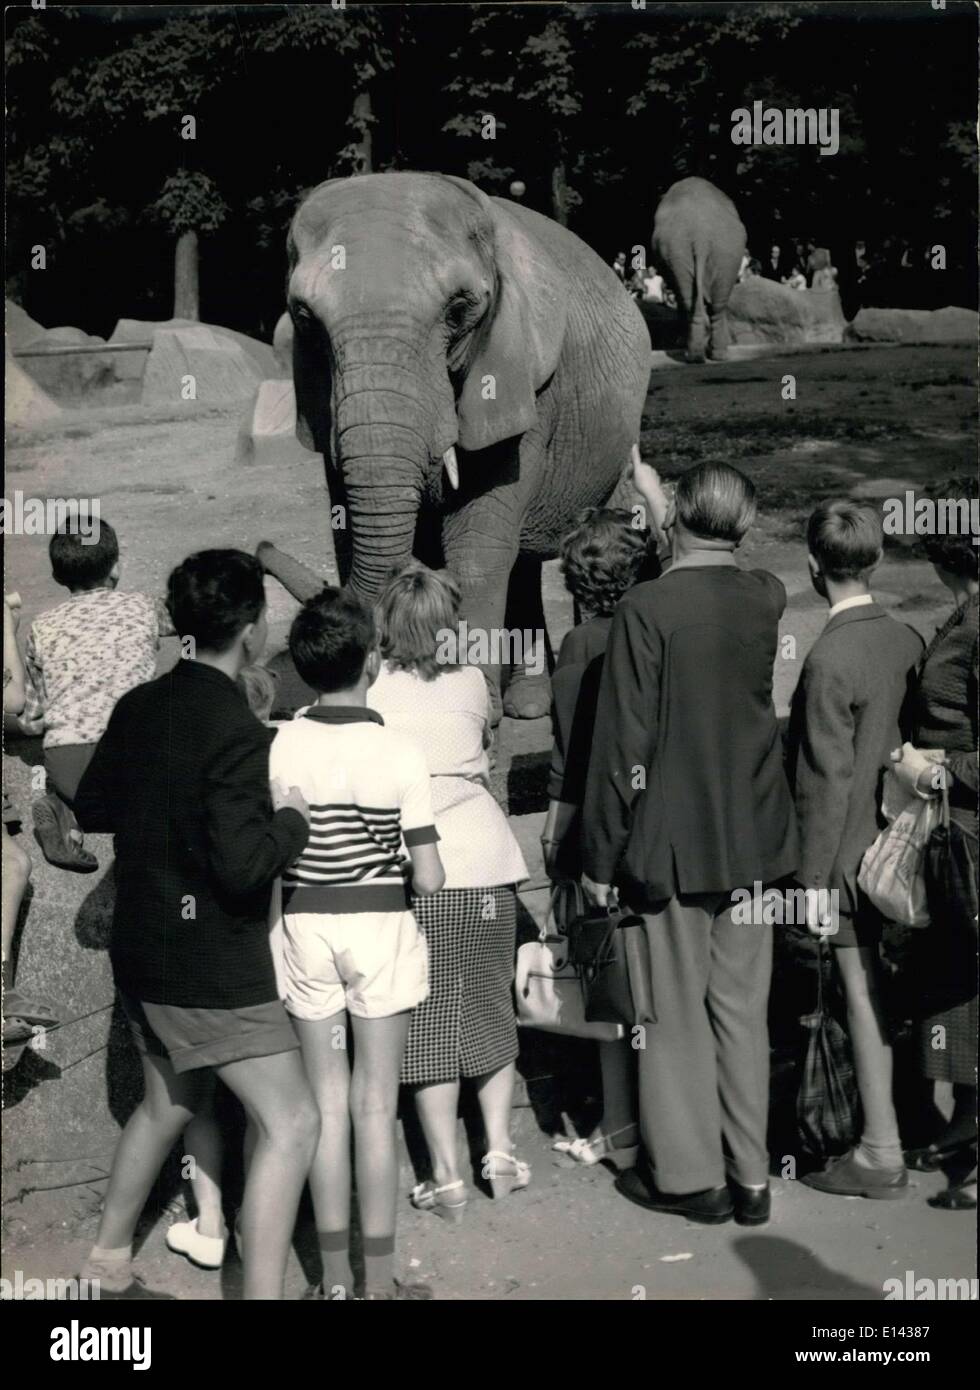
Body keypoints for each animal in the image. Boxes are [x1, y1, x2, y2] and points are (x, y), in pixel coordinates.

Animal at [269, 165, 650, 717]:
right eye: (304, 318)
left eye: (459, 311)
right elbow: (347, 529)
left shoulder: (519, 376)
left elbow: (477, 548)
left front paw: (471, 699)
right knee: (521, 560)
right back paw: (529, 702)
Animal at [653, 176, 745, 364]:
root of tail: (701, 235)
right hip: (721, 252)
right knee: (715, 304)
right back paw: (711, 355)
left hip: (692, 250)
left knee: (692, 301)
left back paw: (696, 355)